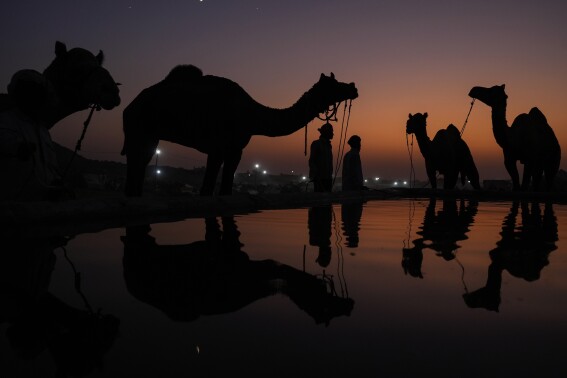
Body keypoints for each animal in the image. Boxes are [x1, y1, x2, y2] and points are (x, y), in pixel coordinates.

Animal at [121, 65, 358, 196]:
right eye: (333, 84)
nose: (353, 87)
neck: (251, 113)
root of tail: (129, 106)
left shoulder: (235, 149)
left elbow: (226, 188)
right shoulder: (217, 147)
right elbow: (206, 190)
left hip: (149, 135)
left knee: (140, 165)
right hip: (139, 130)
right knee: (136, 162)